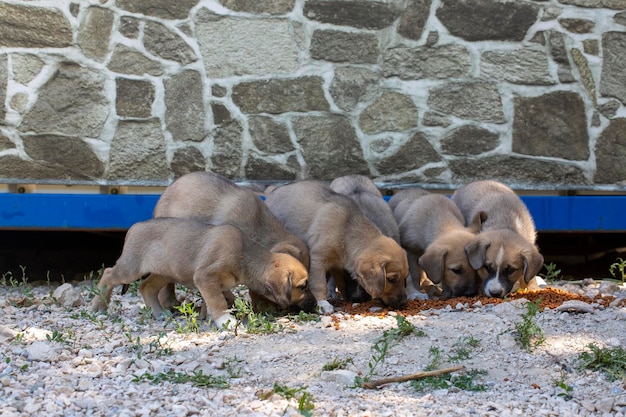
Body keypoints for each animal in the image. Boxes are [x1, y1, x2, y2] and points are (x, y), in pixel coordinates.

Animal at [91, 218, 308, 328]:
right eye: (303, 286)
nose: (312, 304)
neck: (244, 255)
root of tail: (133, 227)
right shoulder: (206, 276)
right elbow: (218, 302)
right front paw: (225, 321)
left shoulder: (208, 283)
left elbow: (209, 300)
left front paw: (205, 316)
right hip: (131, 268)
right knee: (108, 274)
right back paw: (99, 305)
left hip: (164, 272)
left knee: (146, 287)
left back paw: (160, 313)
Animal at [264, 179, 408, 312]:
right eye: (391, 279)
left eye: (405, 278)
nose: (403, 303)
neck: (345, 231)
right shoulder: (318, 259)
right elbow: (320, 283)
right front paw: (322, 303)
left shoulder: (337, 265)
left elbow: (340, 282)